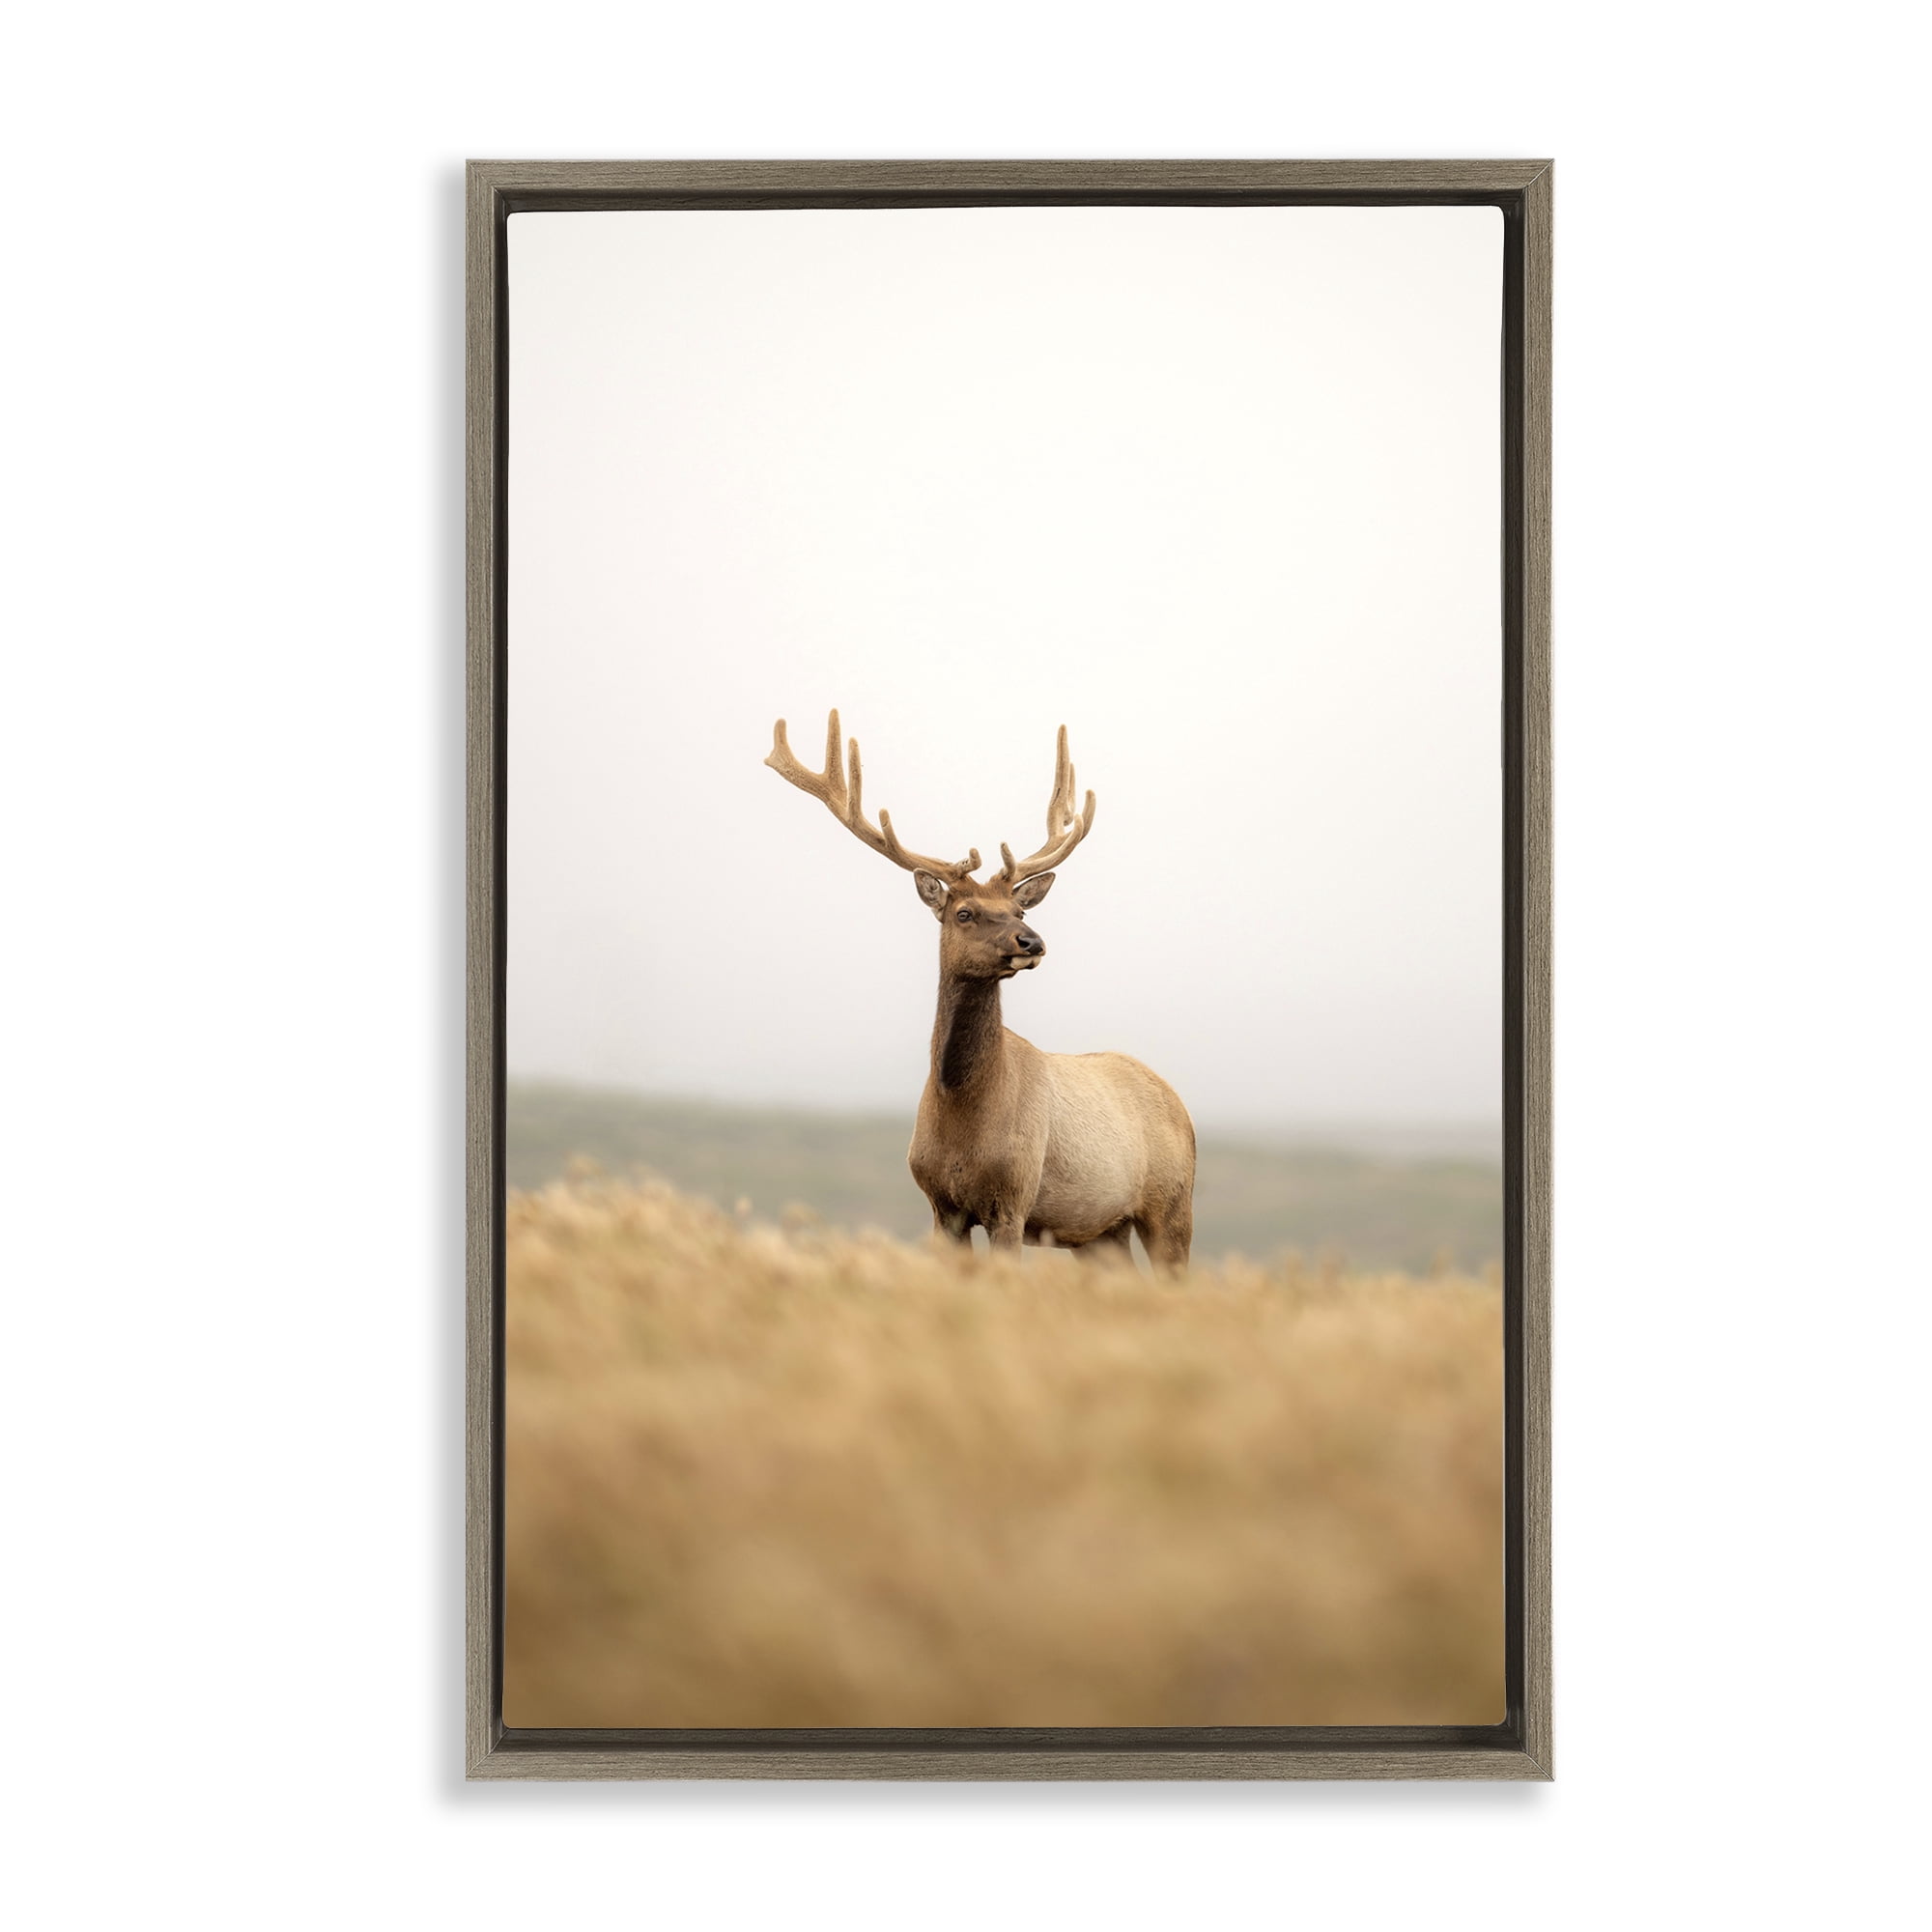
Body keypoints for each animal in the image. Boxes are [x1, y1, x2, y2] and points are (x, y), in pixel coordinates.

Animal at [765, 710, 1195, 1270]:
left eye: (1019, 910)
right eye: (965, 912)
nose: (1032, 941)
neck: (962, 1115)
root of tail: (1179, 1103)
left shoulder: (1013, 1197)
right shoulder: (940, 1204)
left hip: (1172, 1203)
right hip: (1100, 1231)